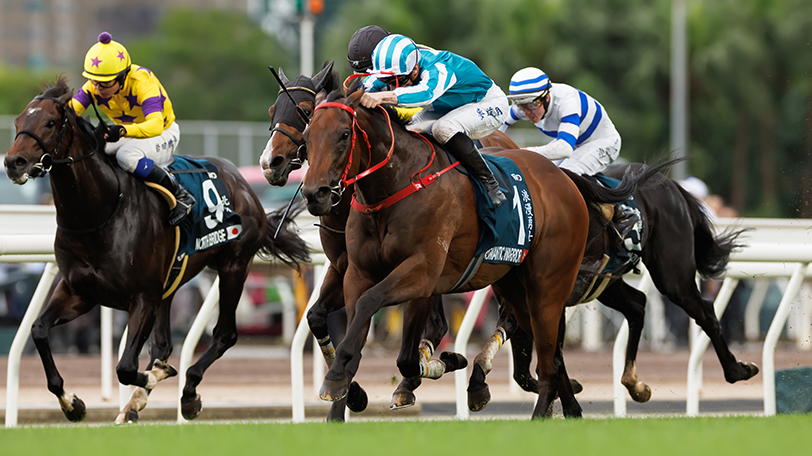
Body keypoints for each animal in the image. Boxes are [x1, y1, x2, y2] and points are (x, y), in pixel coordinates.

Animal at [4, 77, 310, 424]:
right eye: (18, 122)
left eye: (50, 122)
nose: (13, 162)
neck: (101, 213)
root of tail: (242, 182)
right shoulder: (78, 291)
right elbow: (39, 330)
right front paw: (73, 404)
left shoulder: (142, 297)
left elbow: (125, 366)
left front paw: (154, 376)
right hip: (171, 283)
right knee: (163, 344)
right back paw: (136, 402)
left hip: (234, 266)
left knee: (224, 334)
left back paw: (187, 395)